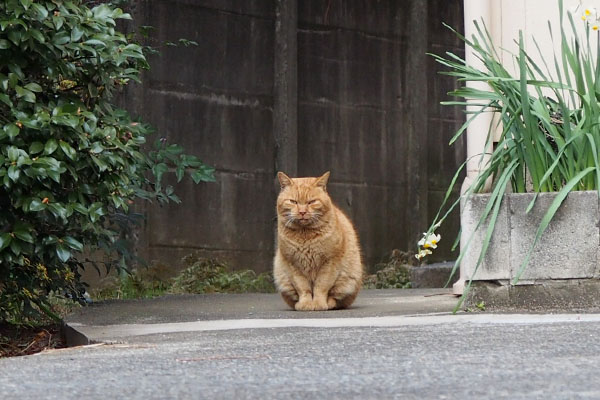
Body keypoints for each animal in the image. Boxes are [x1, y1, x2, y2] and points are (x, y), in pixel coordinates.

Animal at [274, 170, 364, 310]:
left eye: (311, 202)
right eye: (293, 201)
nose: (302, 212)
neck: (305, 236)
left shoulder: (329, 262)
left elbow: (321, 286)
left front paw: (318, 303)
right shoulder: (293, 264)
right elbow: (303, 288)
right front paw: (305, 304)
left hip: (349, 278)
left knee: (337, 299)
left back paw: (329, 303)